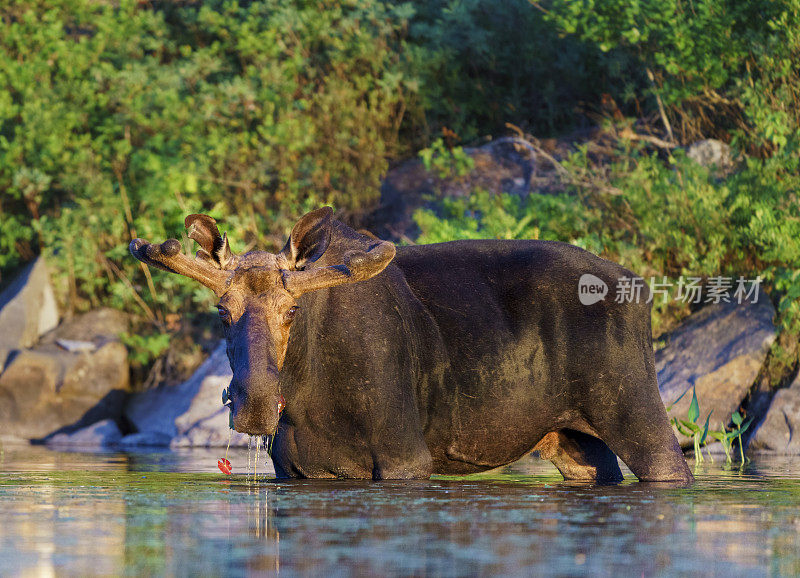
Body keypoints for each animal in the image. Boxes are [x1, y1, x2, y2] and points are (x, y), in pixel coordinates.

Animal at [131, 207, 692, 482]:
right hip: (572, 439)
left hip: (636, 408)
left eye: (292, 310)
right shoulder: (296, 469)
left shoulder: (405, 457)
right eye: (221, 311)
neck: (311, 397)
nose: (256, 405)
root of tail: (641, 289)